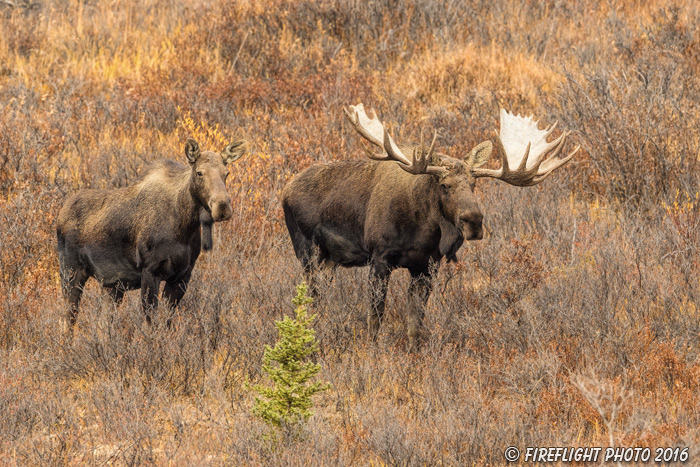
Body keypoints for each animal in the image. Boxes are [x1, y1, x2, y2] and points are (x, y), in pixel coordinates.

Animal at [58, 137, 249, 330]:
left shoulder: (182, 276)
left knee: (102, 325)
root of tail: (61, 212)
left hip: (112, 285)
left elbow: (166, 322)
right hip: (70, 273)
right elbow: (151, 324)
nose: (222, 207)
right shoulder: (150, 271)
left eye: (227, 173)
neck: (184, 227)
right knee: (68, 320)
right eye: (199, 173)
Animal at [282, 104, 576, 350]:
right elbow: (375, 317)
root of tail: (285, 191)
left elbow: (416, 322)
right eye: (444, 185)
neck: (423, 231)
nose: (474, 221)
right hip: (307, 252)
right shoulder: (380, 258)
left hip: (330, 260)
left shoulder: (426, 266)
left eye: (474, 185)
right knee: (311, 297)